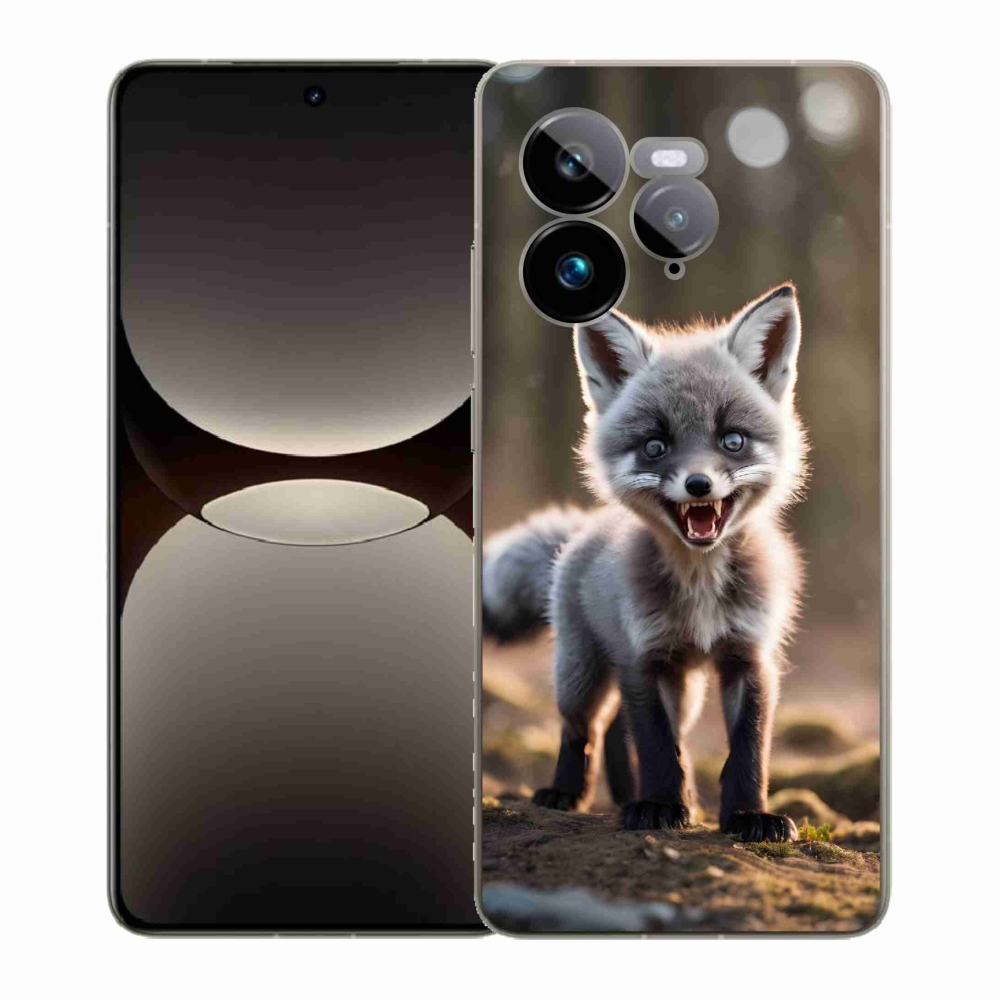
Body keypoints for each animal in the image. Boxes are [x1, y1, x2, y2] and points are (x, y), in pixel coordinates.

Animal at [482, 284, 808, 842]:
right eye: (655, 446)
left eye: (732, 440)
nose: (698, 484)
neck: (700, 587)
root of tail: (582, 530)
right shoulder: (643, 657)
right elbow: (657, 746)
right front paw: (657, 805)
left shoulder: (750, 656)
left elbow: (747, 751)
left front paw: (748, 815)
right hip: (582, 672)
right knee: (583, 727)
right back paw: (567, 792)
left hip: (685, 686)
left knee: (623, 729)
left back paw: (635, 793)